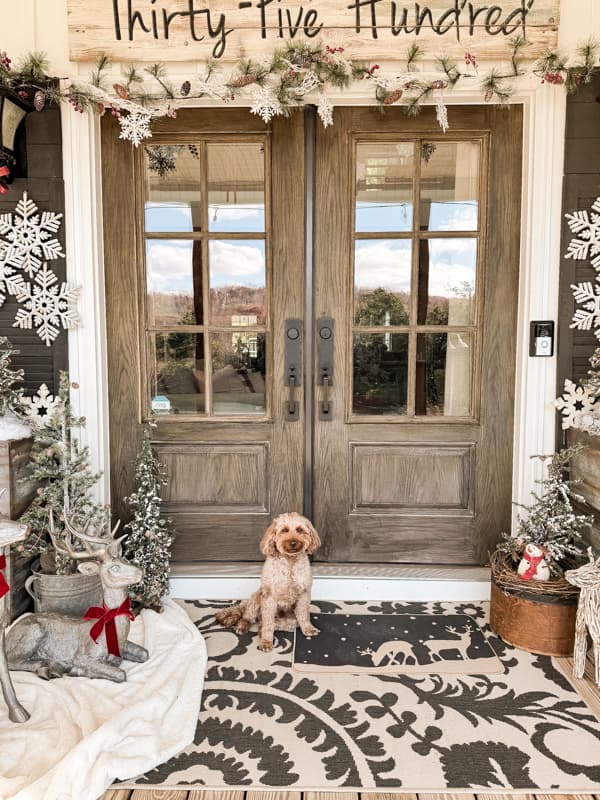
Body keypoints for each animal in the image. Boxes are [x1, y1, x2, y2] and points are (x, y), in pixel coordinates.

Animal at [214, 512, 322, 648]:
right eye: (284, 530)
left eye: (299, 530)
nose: (293, 542)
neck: (289, 563)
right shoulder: (269, 598)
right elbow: (268, 623)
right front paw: (266, 642)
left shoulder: (304, 594)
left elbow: (304, 615)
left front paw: (308, 629)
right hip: (256, 599)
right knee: (248, 618)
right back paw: (243, 627)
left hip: (290, 621)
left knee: (265, 624)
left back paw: (261, 631)